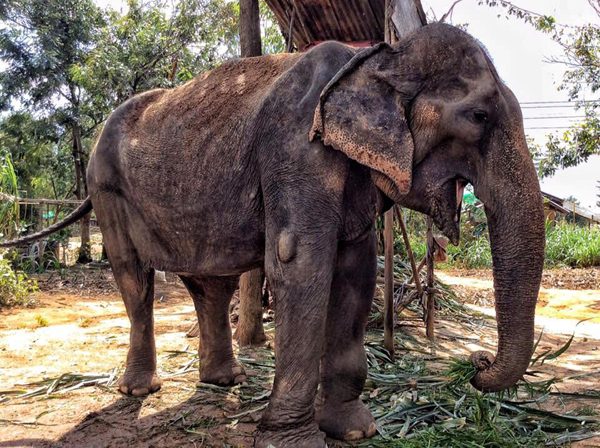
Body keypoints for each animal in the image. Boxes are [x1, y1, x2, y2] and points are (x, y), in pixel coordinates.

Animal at [1, 23, 544, 448]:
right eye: (478, 116)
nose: (476, 363)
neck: (376, 57)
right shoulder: (294, 151)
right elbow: (300, 265)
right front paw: (294, 440)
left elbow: (356, 273)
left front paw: (355, 431)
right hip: (107, 188)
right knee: (135, 280)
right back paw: (139, 391)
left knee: (209, 284)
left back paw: (225, 380)